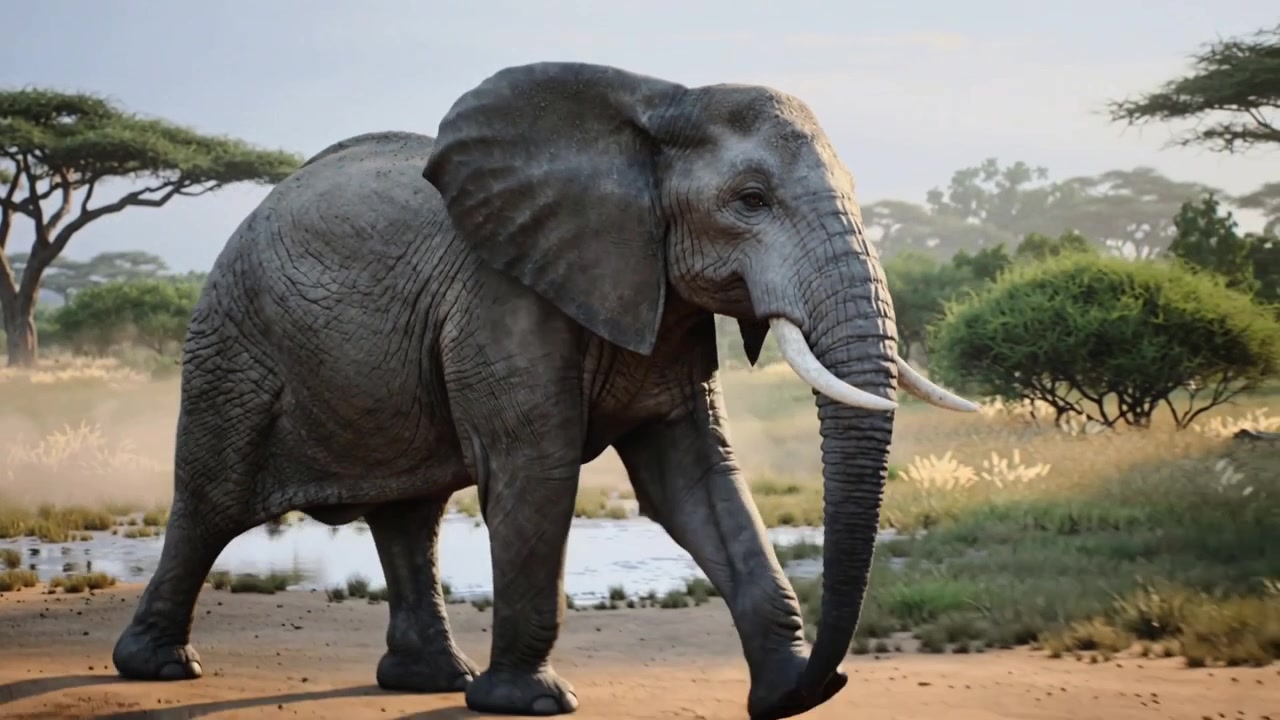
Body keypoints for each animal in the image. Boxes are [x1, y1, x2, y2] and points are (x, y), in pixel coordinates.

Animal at [110, 61, 976, 719]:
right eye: (751, 201)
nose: (830, 675)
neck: (655, 107)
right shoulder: (502, 299)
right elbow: (538, 473)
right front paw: (527, 703)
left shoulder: (661, 301)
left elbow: (697, 482)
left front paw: (790, 695)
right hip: (233, 342)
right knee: (213, 500)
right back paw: (159, 668)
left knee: (410, 515)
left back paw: (432, 680)